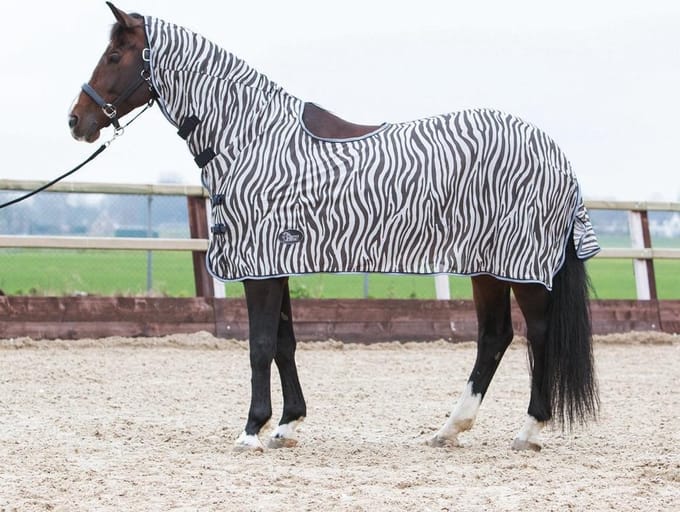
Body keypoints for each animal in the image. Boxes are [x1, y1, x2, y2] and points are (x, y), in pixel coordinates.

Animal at [69, 2, 600, 452]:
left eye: (115, 54)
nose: (77, 120)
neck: (251, 137)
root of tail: (558, 156)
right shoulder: (274, 263)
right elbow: (284, 343)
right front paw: (286, 425)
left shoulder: (259, 265)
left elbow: (260, 346)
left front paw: (251, 430)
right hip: (487, 266)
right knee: (495, 337)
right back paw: (449, 429)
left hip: (519, 265)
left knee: (537, 333)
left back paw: (529, 430)